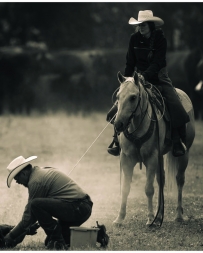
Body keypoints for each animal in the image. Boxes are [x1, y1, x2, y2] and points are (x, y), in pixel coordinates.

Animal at [112, 70, 195, 225]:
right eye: (118, 97)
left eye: (133, 97)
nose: (118, 124)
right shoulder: (127, 159)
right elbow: (125, 188)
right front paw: (119, 218)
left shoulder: (151, 158)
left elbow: (149, 189)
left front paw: (150, 218)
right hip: (160, 157)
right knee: (161, 180)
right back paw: (159, 214)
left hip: (184, 154)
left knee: (179, 180)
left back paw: (178, 215)